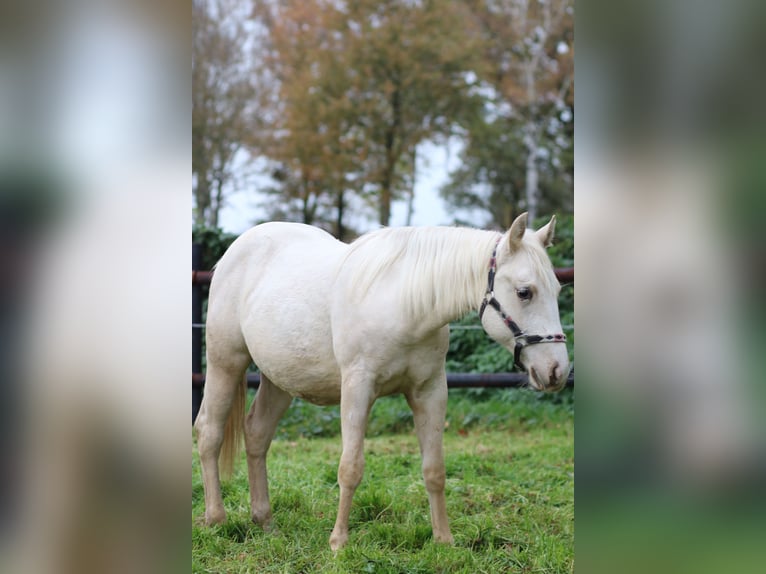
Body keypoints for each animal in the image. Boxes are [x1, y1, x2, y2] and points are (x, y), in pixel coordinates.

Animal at [195, 210, 572, 548]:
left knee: (257, 435)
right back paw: (216, 519)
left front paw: (444, 540)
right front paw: (339, 542)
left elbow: (434, 470)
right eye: (524, 292)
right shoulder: (357, 389)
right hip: (225, 362)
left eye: (556, 289)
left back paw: (265, 522)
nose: (557, 372)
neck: (406, 305)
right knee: (210, 431)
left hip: (280, 379)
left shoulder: (431, 391)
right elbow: (350, 467)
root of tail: (236, 249)